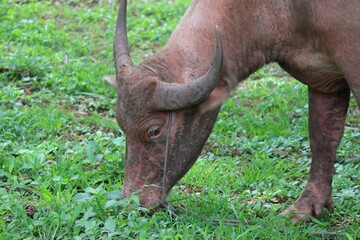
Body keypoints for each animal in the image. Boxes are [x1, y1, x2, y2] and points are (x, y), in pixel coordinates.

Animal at [111, 0, 358, 222]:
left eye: (154, 130)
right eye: (121, 125)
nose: (133, 202)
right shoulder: (324, 84)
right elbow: (323, 139)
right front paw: (304, 209)